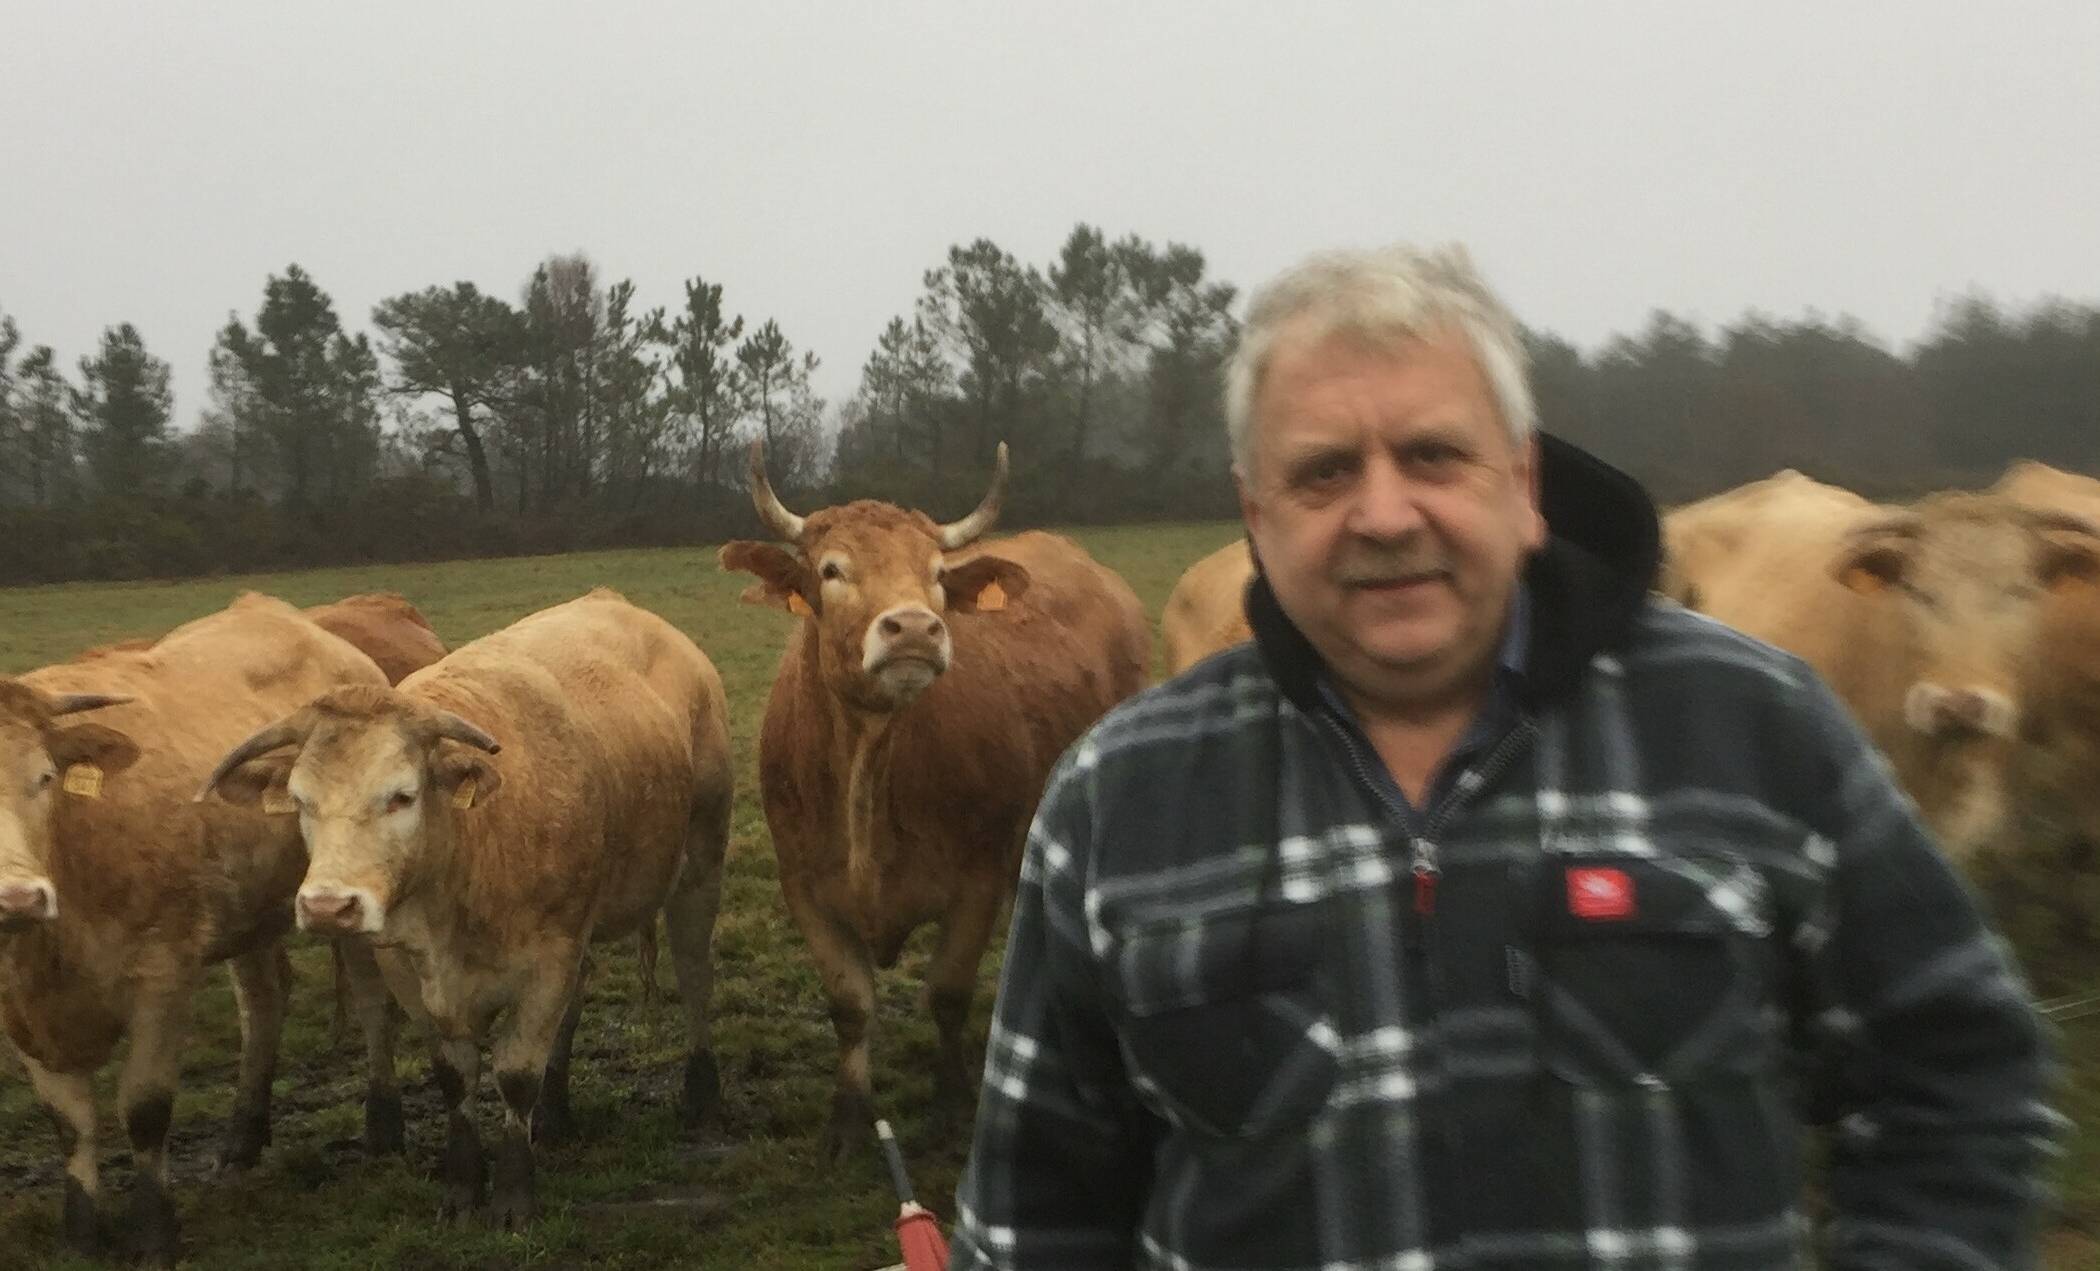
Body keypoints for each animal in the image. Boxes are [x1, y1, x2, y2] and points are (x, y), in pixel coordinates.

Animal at [1, 592, 390, 1260]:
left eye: (44, 778)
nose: (18, 897)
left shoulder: (162, 974)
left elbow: (144, 1108)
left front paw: (155, 1230)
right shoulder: (18, 1012)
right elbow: (69, 1125)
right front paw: (80, 1237)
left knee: (371, 1003)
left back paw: (382, 1126)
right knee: (263, 1001)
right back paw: (242, 1138)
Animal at [198, 588, 739, 1226]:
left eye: (402, 796)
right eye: (301, 801)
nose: (329, 907)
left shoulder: (548, 959)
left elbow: (515, 1075)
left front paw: (512, 1194)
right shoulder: (405, 968)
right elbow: (455, 1077)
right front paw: (461, 1186)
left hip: (700, 858)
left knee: (694, 973)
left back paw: (702, 1095)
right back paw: (556, 1115)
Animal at [722, 439, 1150, 1159]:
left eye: (936, 576)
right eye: (832, 568)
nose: (916, 628)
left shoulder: (978, 879)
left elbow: (948, 992)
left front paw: (952, 1104)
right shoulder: (803, 885)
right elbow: (849, 1004)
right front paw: (848, 1117)